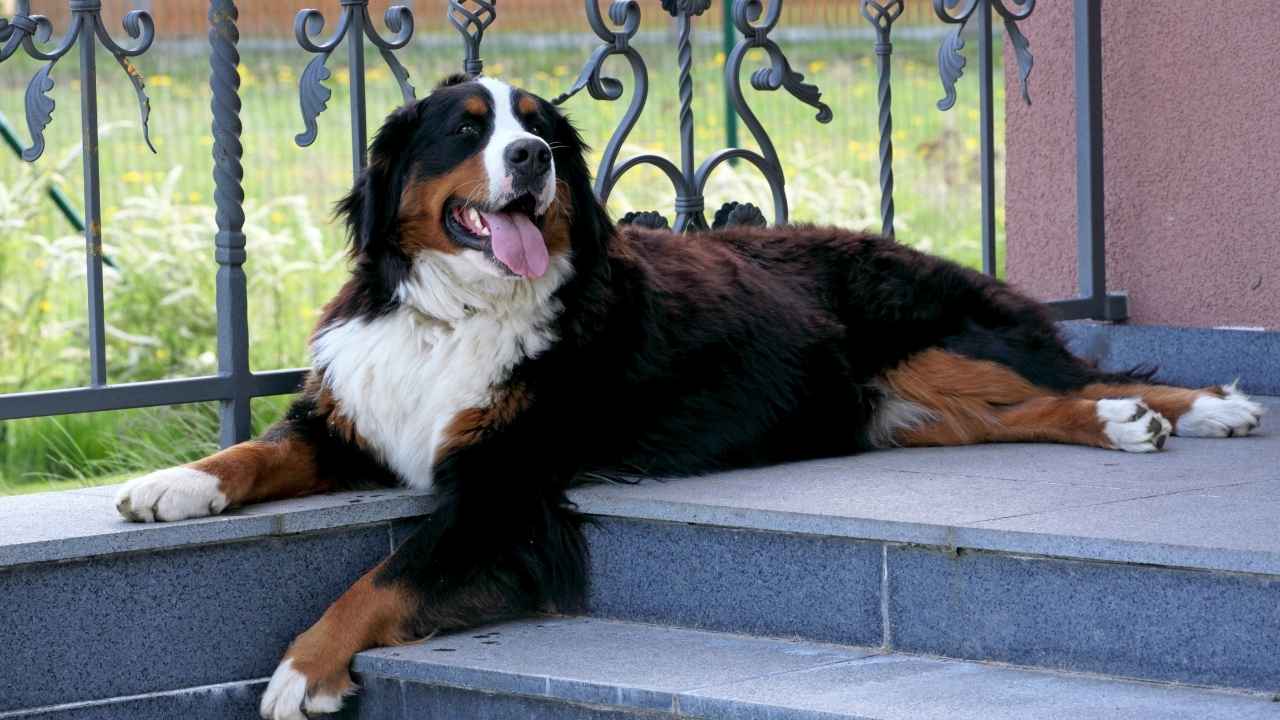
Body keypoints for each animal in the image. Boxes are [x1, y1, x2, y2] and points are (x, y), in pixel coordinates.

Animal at [115, 75, 1264, 712]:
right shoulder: (358, 418)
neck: (454, 313)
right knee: (1032, 406)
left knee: (1077, 374)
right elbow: (259, 450)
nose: (530, 159)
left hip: (933, 342)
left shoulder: (504, 492)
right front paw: (174, 486)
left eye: (538, 130)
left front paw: (301, 672)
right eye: (465, 130)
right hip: (898, 402)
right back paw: (1127, 425)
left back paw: (1199, 407)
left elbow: (378, 580)